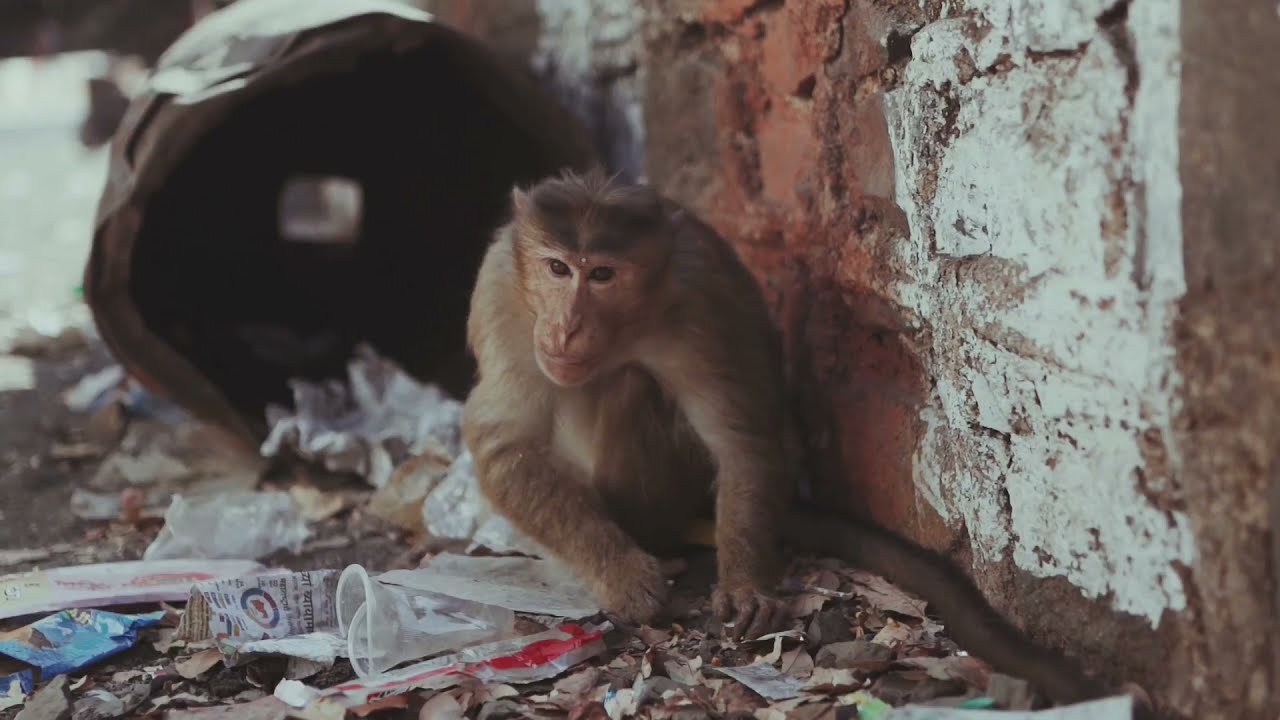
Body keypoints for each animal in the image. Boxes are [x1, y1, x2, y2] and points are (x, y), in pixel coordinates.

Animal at [460, 169, 1157, 718]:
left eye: (602, 274)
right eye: (557, 268)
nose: (567, 326)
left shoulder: (696, 308)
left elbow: (739, 440)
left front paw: (744, 583)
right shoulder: (502, 291)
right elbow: (503, 440)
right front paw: (620, 573)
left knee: (630, 383)